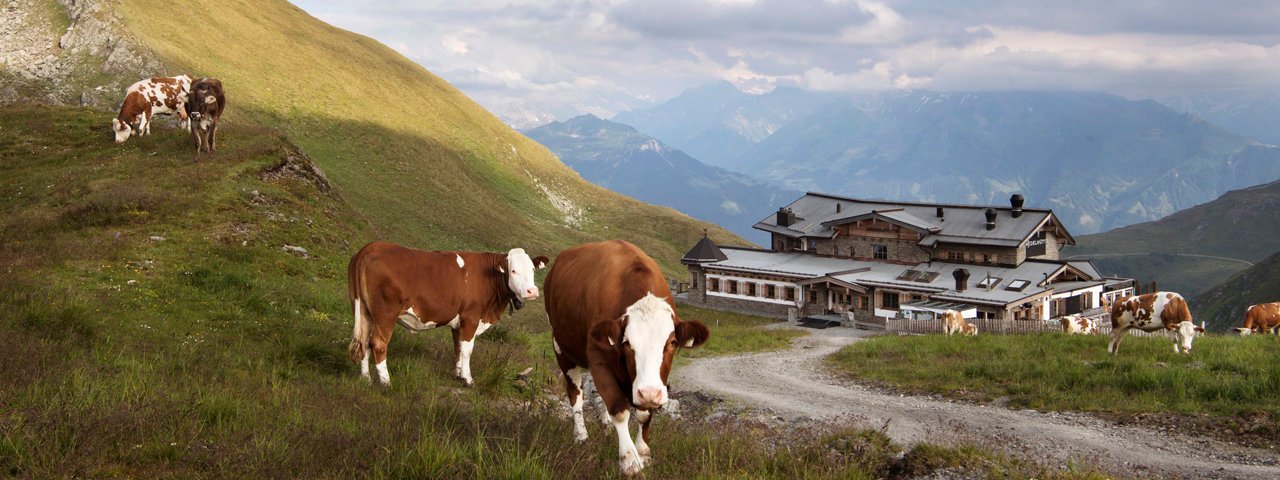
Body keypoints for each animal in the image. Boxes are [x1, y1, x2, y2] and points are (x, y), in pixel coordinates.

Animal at [348, 241, 547, 389]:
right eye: (513, 270)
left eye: (532, 269)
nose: (532, 291)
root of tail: (372, 246)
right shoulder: (471, 318)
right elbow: (467, 350)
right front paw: (468, 379)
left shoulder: (458, 323)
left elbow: (458, 348)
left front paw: (458, 375)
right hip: (386, 313)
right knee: (378, 344)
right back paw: (386, 383)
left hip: (364, 310)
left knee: (364, 342)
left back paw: (366, 380)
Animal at [545, 240, 716, 478]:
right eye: (626, 343)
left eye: (672, 342)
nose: (650, 393)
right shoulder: (598, 360)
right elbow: (619, 409)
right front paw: (630, 462)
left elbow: (644, 415)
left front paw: (643, 453)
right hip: (561, 348)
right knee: (575, 393)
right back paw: (581, 436)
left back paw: (604, 424)